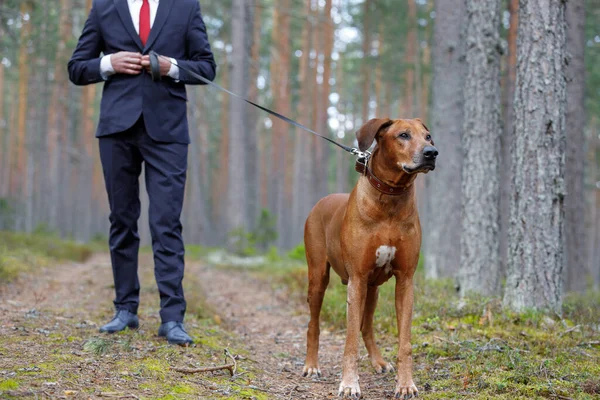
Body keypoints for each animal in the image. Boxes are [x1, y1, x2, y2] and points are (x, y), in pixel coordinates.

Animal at [304, 118, 436, 396]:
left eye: (428, 136)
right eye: (403, 135)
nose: (432, 153)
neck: (390, 199)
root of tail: (321, 201)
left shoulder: (405, 280)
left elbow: (405, 342)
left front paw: (406, 384)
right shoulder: (356, 279)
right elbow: (350, 340)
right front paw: (349, 384)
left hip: (373, 289)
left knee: (367, 326)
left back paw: (378, 361)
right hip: (318, 276)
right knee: (314, 324)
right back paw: (311, 365)